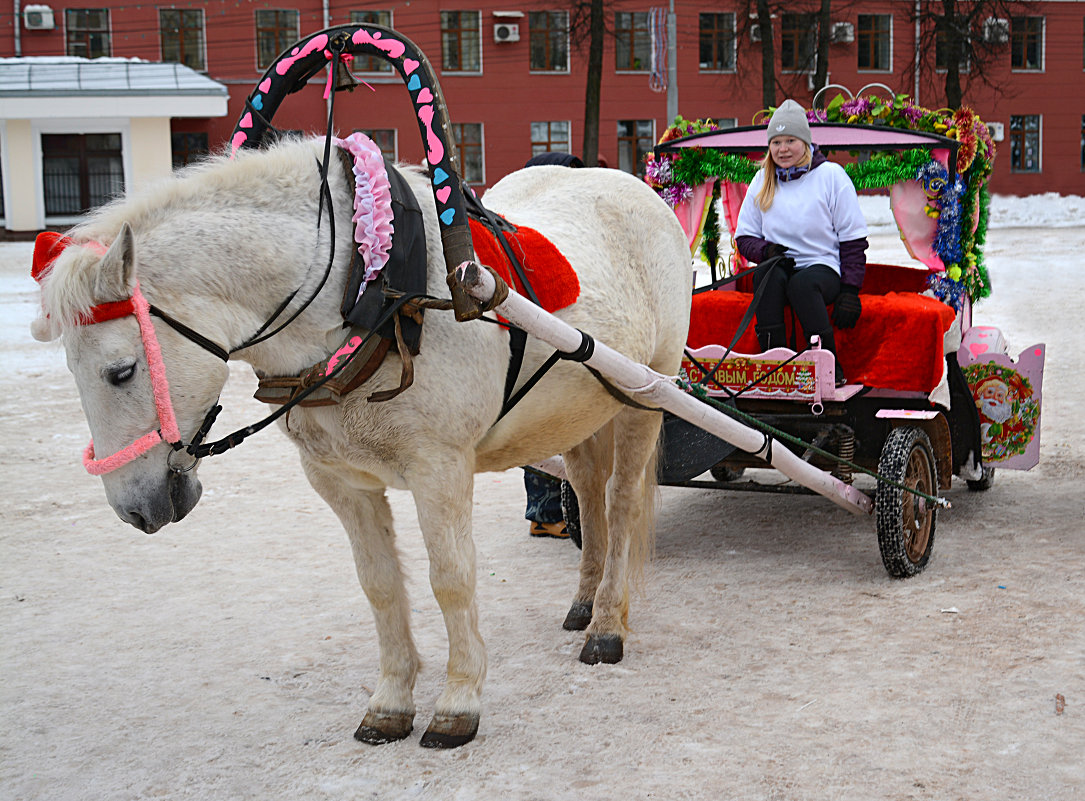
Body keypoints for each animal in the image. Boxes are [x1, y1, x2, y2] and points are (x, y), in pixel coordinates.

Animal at [33, 135, 694, 742]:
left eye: (121, 371)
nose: (135, 508)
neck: (372, 299)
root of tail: (637, 186)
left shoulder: (439, 468)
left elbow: (451, 578)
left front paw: (459, 701)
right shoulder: (338, 480)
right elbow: (378, 584)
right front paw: (392, 701)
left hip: (647, 390)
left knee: (620, 501)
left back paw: (607, 624)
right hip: (578, 407)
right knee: (586, 490)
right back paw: (585, 602)